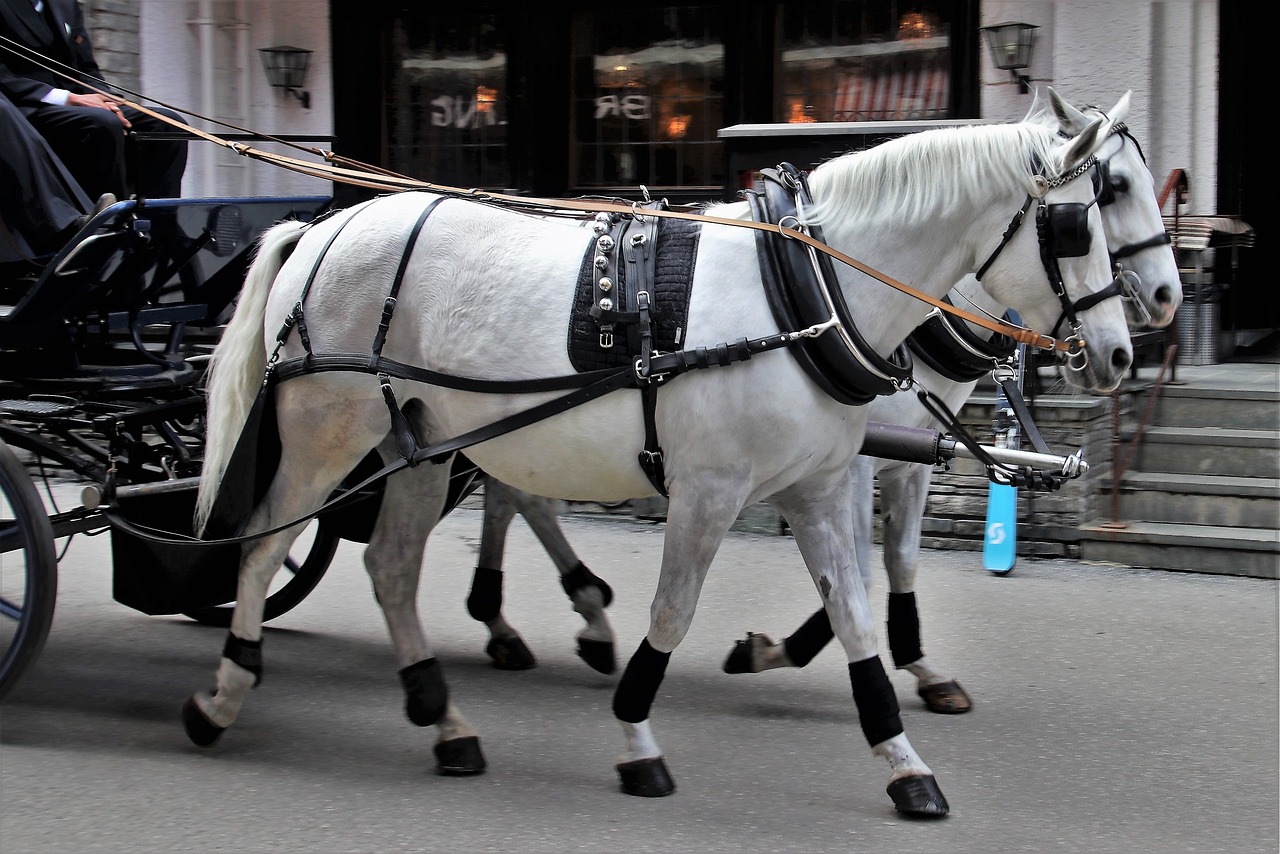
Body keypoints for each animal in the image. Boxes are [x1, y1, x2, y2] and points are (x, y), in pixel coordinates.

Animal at [183, 110, 1131, 819]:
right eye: (1081, 219)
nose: (1123, 350)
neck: (803, 290)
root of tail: (323, 228)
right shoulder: (709, 490)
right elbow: (673, 614)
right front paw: (638, 738)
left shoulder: (820, 484)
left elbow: (857, 611)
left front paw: (903, 761)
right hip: (325, 437)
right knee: (263, 548)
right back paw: (224, 694)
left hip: (417, 443)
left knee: (391, 565)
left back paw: (444, 717)